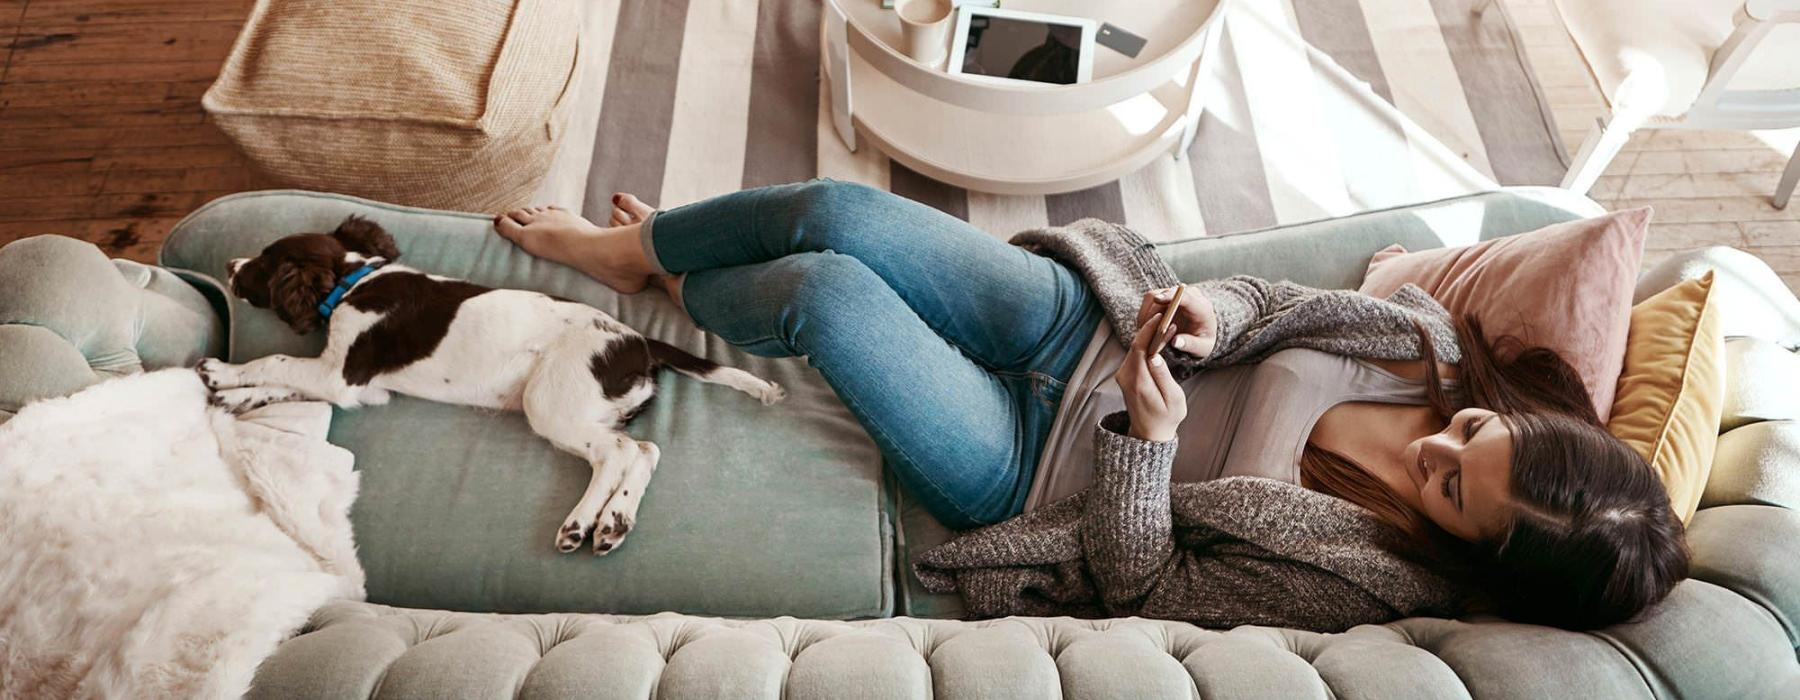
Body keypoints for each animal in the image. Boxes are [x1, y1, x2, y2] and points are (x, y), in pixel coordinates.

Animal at [200, 215, 784, 554]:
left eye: (262, 264)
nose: (228, 262)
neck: (353, 280)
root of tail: (637, 340)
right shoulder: (356, 384)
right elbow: (285, 383)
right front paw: (235, 395)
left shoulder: (343, 374)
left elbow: (279, 359)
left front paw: (224, 373)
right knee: (644, 450)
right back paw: (613, 521)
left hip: (550, 401)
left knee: (617, 452)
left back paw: (582, 523)